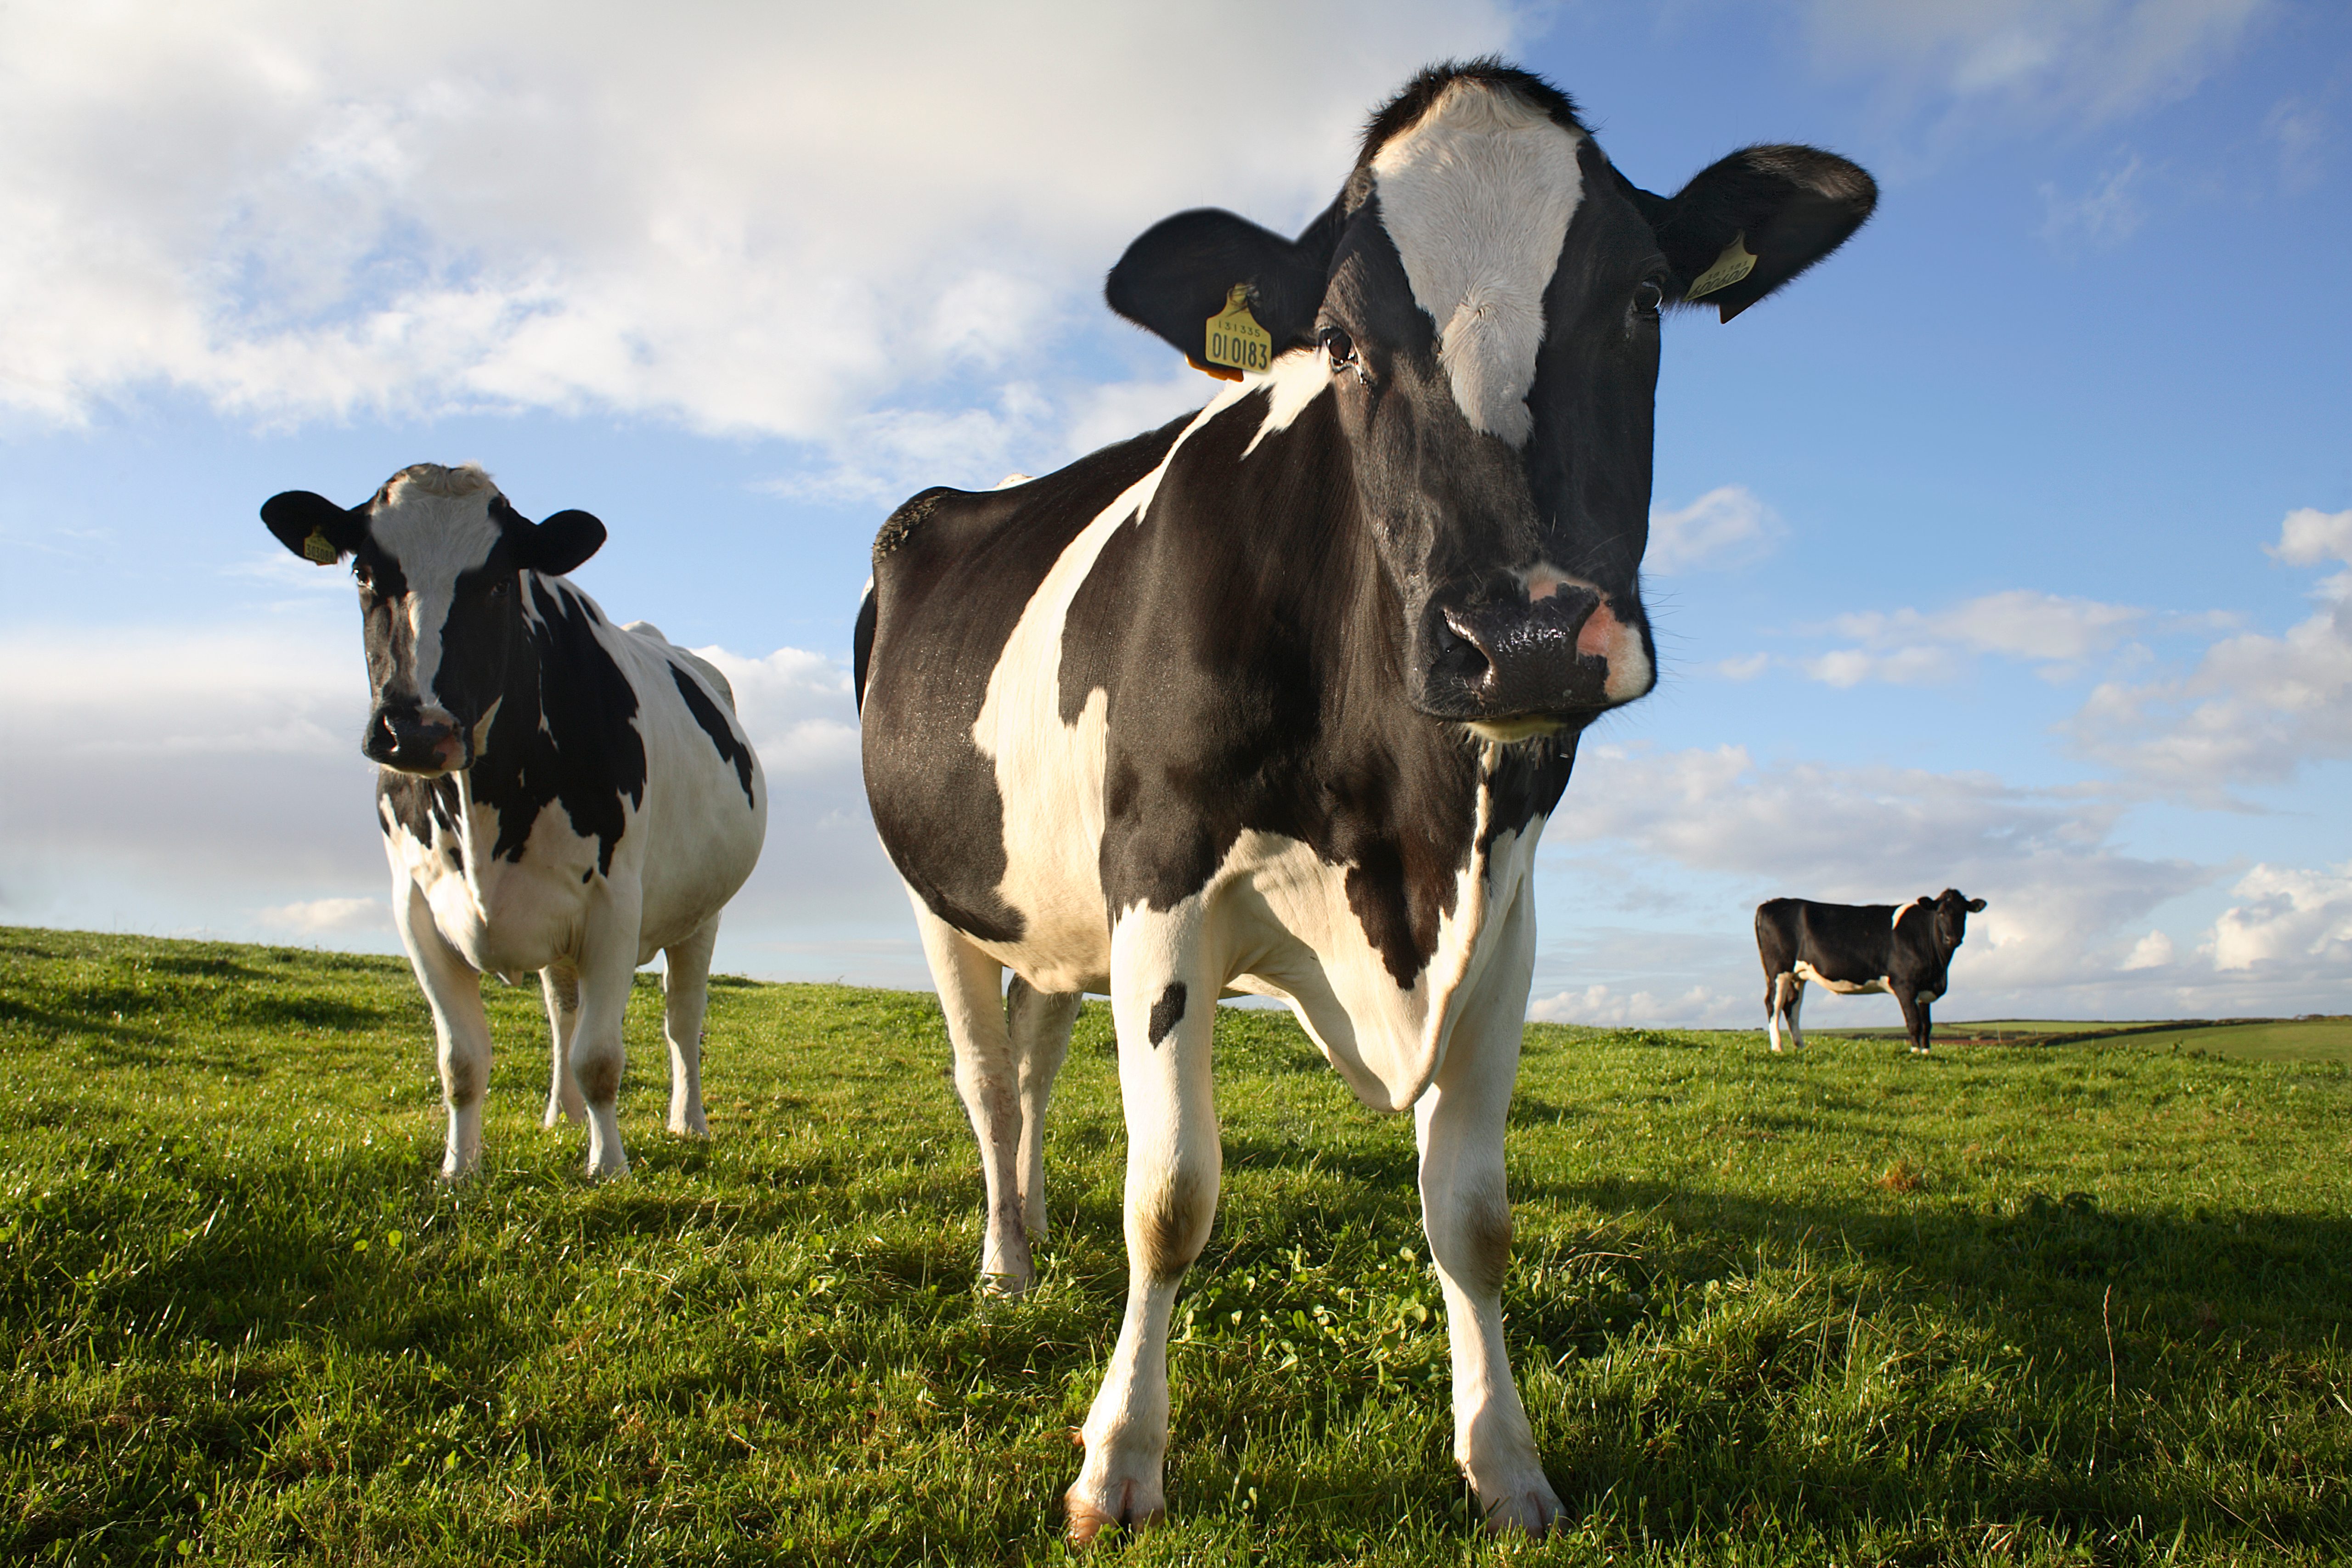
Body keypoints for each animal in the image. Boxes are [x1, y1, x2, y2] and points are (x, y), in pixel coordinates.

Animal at [261, 462, 767, 1179]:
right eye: (363, 571)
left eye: (500, 580)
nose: (417, 731)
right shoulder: (416, 908)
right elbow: (462, 1061)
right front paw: (459, 1168)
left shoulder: (616, 901)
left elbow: (601, 1058)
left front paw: (609, 1166)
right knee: (562, 1012)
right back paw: (562, 1114)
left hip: (700, 913)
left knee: (681, 1019)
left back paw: (687, 1122)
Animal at [856, 60, 1875, 1539]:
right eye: (1336, 342)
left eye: (1642, 297)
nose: (1523, 635)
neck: (1404, 832)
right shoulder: (1158, 874)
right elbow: (1170, 1193)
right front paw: (1117, 1461)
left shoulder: (1503, 909)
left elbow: (1474, 1216)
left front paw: (1506, 1461)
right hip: (944, 892)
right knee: (990, 1082)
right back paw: (1003, 1263)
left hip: (1051, 910)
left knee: (1037, 1062)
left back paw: (1033, 1232)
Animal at [1755, 890, 1986, 1055]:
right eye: (1940, 913)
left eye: (1963, 913)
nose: (1953, 939)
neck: (1939, 969)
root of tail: (1769, 904)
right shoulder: (1905, 985)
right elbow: (1914, 1022)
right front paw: (1915, 1052)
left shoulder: (1925, 988)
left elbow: (1927, 1024)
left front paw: (1927, 1052)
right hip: (1778, 971)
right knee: (1773, 1004)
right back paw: (1778, 1047)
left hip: (1798, 976)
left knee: (1791, 1007)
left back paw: (1800, 1046)